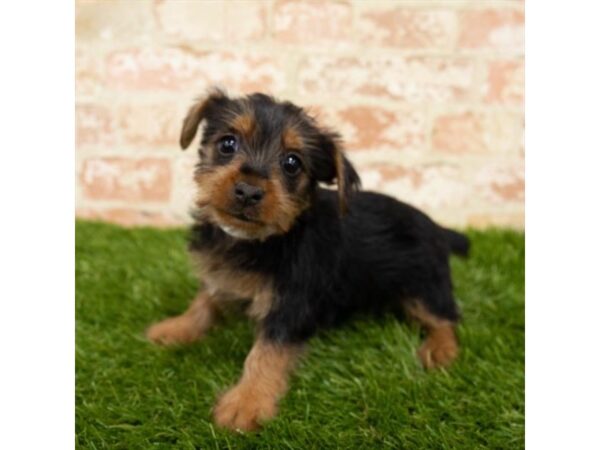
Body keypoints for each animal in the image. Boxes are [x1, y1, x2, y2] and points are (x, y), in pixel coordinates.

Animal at [146, 89, 468, 432]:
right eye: (227, 144)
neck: (262, 239)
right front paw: (177, 328)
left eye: (292, 163)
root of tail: (438, 228)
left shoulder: (291, 304)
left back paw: (441, 349)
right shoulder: (218, 274)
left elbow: (266, 352)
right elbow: (205, 300)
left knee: (445, 317)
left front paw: (247, 402)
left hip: (424, 284)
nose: (247, 191)